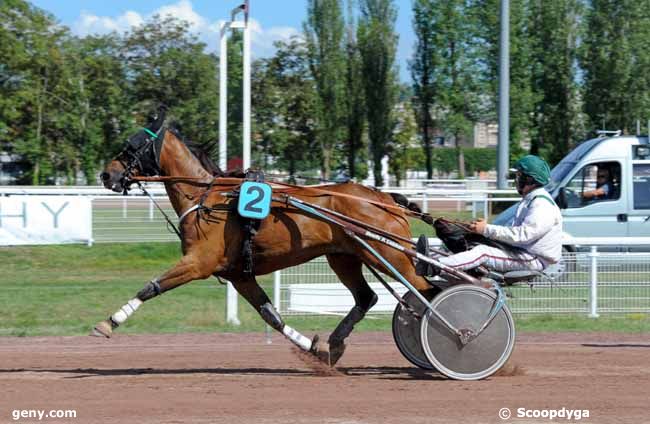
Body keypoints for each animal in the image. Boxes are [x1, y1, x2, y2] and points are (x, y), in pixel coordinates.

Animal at [95, 114, 430, 366]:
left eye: (133, 145)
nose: (106, 175)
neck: (207, 198)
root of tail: (385, 198)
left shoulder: (198, 263)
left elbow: (151, 287)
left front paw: (108, 323)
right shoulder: (239, 275)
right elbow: (272, 315)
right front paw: (314, 347)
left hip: (388, 254)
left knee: (425, 289)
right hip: (344, 257)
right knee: (366, 297)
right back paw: (335, 342)